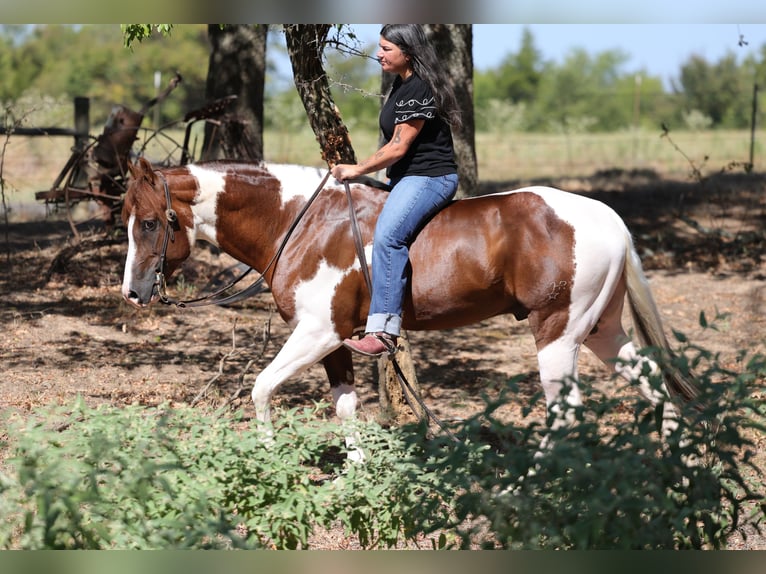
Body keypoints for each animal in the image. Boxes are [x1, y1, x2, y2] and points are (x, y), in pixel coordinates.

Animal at [121, 157, 697, 457]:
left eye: (149, 222)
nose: (131, 293)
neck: (303, 223)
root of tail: (609, 218)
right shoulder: (336, 340)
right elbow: (346, 406)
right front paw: (354, 476)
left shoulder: (316, 333)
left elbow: (262, 388)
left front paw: (267, 459)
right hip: (599, 330)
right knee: (654, 379)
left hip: (557, 334)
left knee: (566, 409)